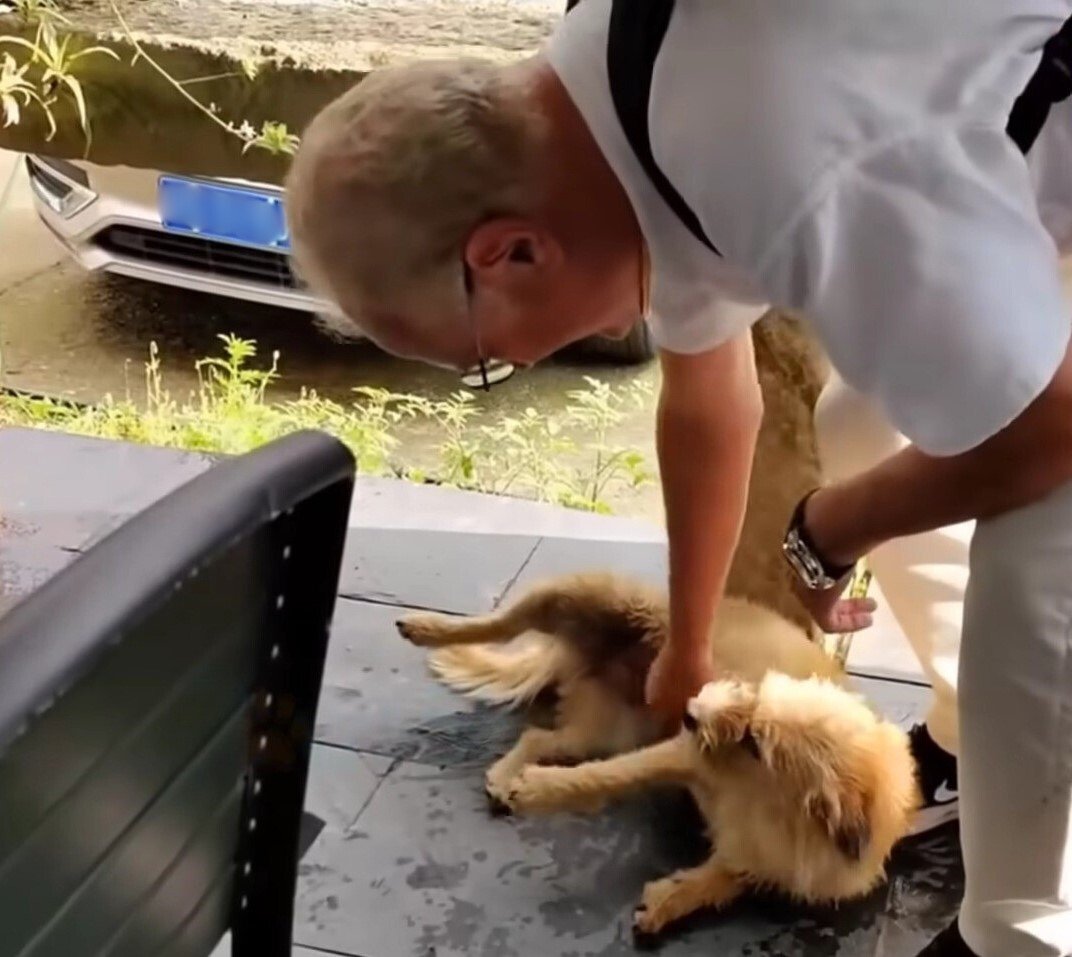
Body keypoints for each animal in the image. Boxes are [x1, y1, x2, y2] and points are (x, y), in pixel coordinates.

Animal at [398, 570, 917, 938]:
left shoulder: (759, 856)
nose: (690, 708)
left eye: (757, 742)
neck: (767, 804)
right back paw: (427, 627)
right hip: (589, 599)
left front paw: (671, 900)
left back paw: (507, 772)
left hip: (601, 728)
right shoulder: (685, 753)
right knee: (505, 622)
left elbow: (721, 880)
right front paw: (542, 790)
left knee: (537, 737)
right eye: (754, 692)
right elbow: (604, 777)